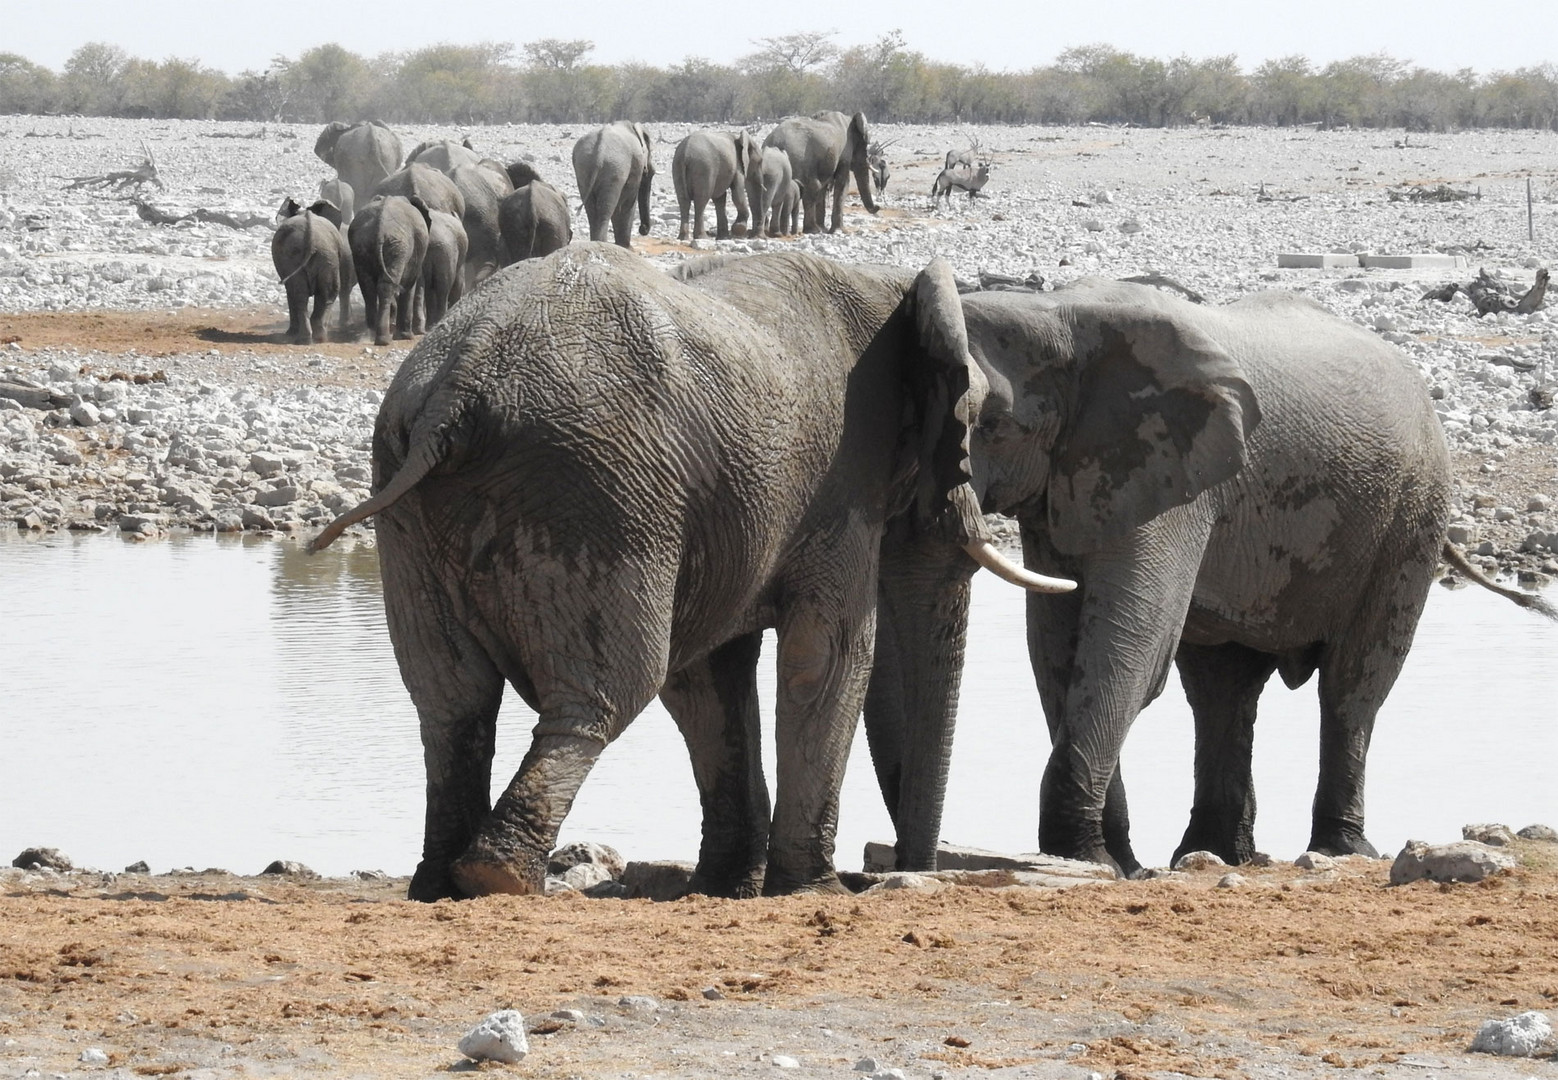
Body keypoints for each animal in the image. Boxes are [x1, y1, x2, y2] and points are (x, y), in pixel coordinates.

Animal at [271, 195, 353, 342]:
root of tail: (311, 237)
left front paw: (290, 334)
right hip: (323, 256)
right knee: (325, 293)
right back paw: (316, 337)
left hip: (305, 255)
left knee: (301, 294)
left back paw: (308, 338)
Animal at [310, 244, 1078, 903]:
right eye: (980, 424)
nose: (900, 872)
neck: (890, 287)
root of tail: (456, 387)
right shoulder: (839, 484)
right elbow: (825, 657)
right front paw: (810, 890)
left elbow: (708, 678)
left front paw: (726, 887)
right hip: (595, 491)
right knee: (608, 688)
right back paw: (499, 877)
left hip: (416, 504)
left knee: (451, 702)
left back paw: (440, 883)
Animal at [350, 194, 430, 345]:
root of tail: (380, 227)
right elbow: (409, 284)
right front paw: (406, 336)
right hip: (398, 247)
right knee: (387, 286)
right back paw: (384, 340)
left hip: (362, 244)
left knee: (368, 287)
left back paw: (371, 335)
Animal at [570, 120, 654, 249]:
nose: (643, 229)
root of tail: (598, 153)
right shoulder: (636, 165)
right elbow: (627, 202)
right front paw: (626, 247)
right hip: (614, 168)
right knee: (606, 210)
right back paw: (602, 242)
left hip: (583, 169)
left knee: (592, 211)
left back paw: (595, 241)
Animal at [860, 275, 1551, 878]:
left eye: (994, 425)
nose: (902, 862)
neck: (1054, 313)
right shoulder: (1074, 480)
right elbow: (1059, 648)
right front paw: (1113, 861)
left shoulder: (1172, 475)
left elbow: (1129, 647)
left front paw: (1087, 858)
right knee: (1222, 690)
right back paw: (1215, 853)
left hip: (1410, 518)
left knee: (1353, 685)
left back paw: (1338, 850)